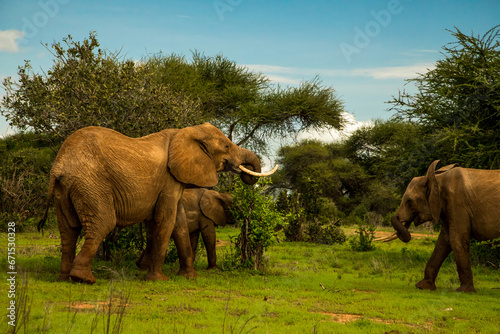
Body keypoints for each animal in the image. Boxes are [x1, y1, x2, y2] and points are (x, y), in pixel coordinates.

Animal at [37, 121, 276, 284]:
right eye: (226, 146)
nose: (247, 173)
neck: (186, 132)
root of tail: (59, 165)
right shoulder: (169, 179)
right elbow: (166, 220)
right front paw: (158, 279)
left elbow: (177, 222)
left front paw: (188, 276)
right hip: (91, 185)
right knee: (103, 223)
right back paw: (84, 279)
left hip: (65, 189)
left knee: (68, 230)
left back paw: (63, 277)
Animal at [378, 160, 500, 294]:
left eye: (409, 201)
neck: (437, 178)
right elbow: (444, 241)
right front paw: (422, 287)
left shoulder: (457, 203)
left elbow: (456, 240)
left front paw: (464, 291)